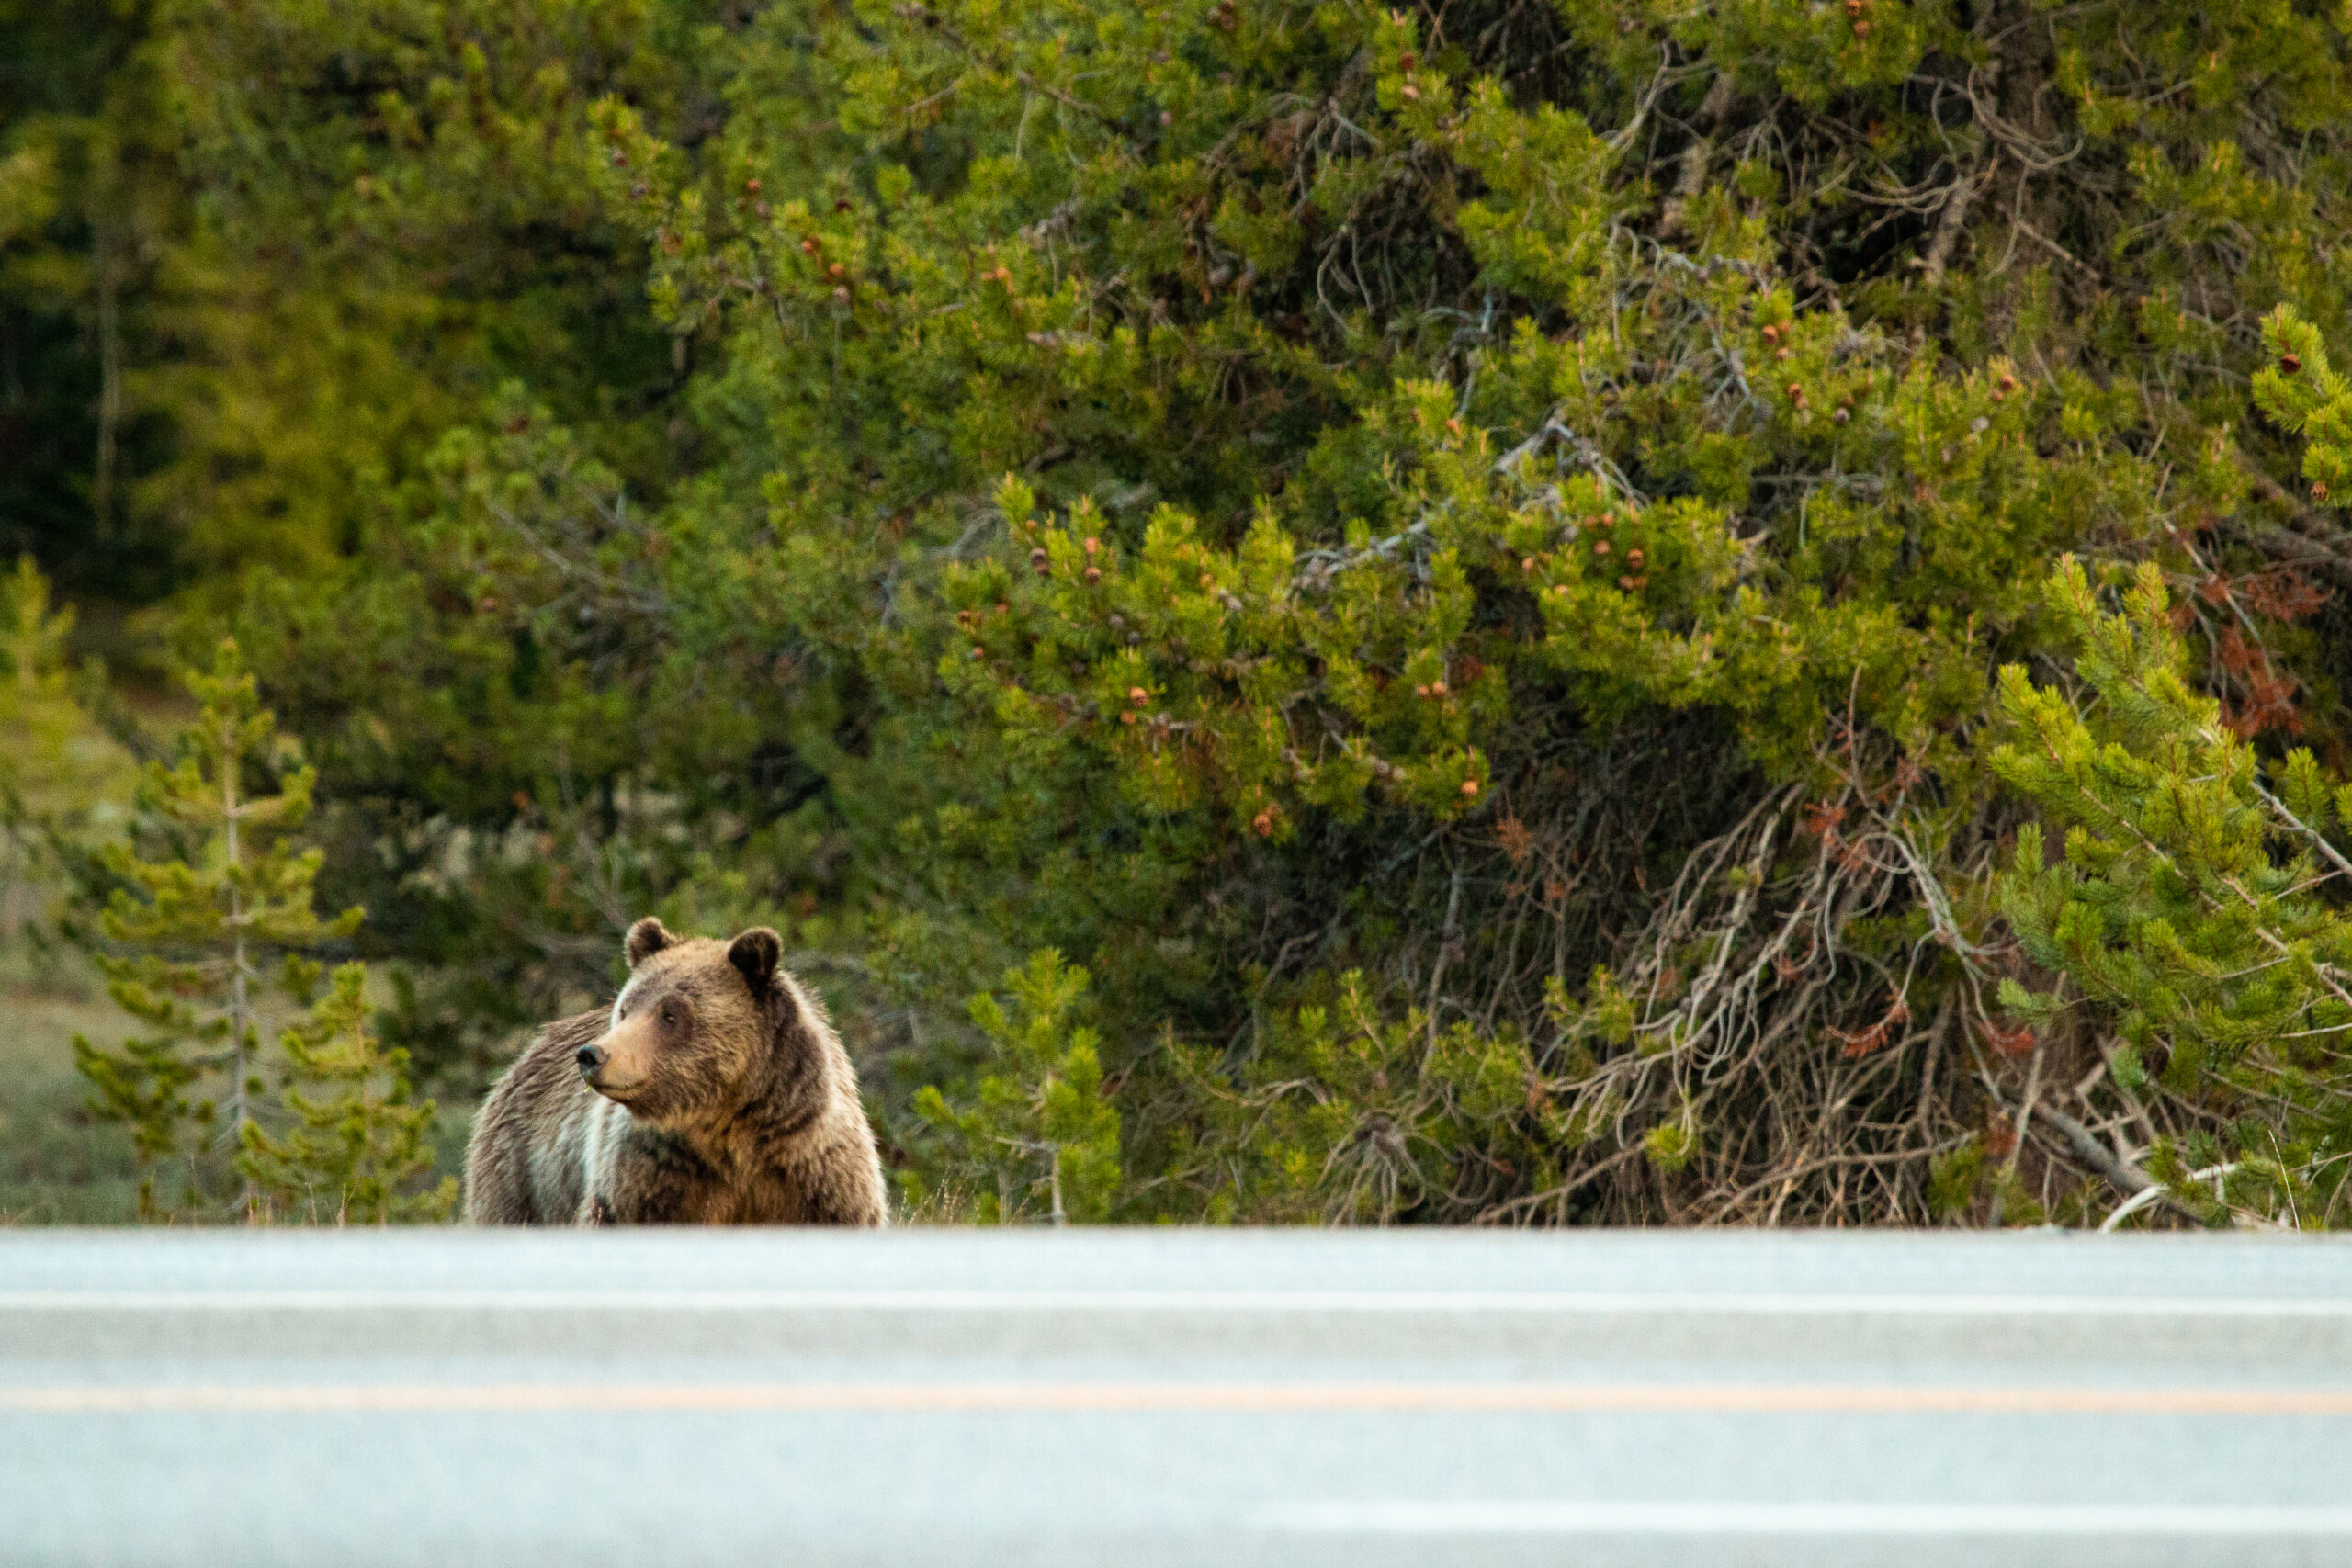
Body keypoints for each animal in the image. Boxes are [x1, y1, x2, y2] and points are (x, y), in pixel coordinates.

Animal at [463, 917, 887, 1226]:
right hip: (522, 1173)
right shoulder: (652, 1175)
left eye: (670, 1014)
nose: (592, 1054)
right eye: (625, 1008)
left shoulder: (813, 1168)